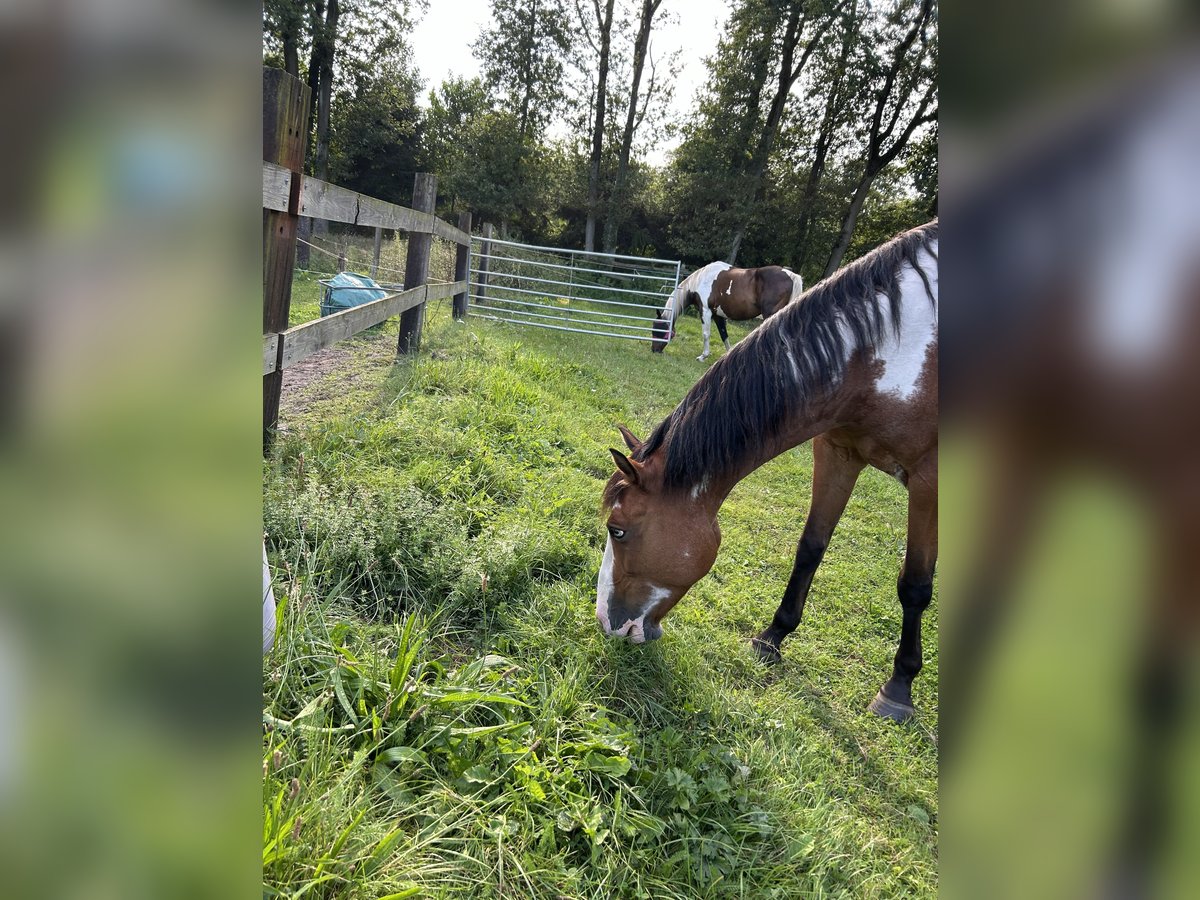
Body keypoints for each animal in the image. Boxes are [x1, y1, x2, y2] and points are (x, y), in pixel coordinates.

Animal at [648, 260, 806, 360]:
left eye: (657, 330)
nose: (654, 350)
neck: (701, 281)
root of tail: (792, 275)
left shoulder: (705, 312)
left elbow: (706, 334)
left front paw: (703, 356)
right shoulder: (718, 316)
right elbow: (724, 335)